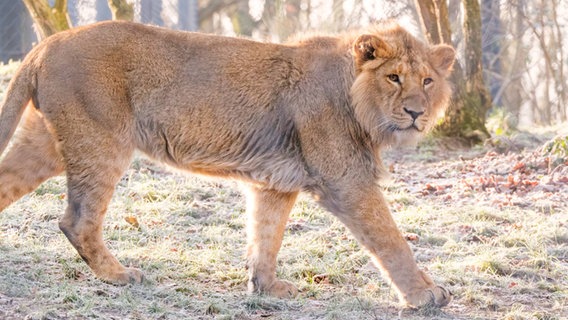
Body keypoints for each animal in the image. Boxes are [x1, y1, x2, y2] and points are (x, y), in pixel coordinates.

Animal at [0, 20, 454, 308]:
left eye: (427, 81)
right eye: (394, 78)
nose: (416, 112)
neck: (359, 102)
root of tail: (46, 44)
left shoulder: (275, 184)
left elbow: (266, 237)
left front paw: (266, 289)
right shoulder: (346, 180)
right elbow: (390, 239)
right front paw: (424, 296)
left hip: (48, 143)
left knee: (10, 182)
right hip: (101, 140)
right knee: (77, 220)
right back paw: (119, 275)